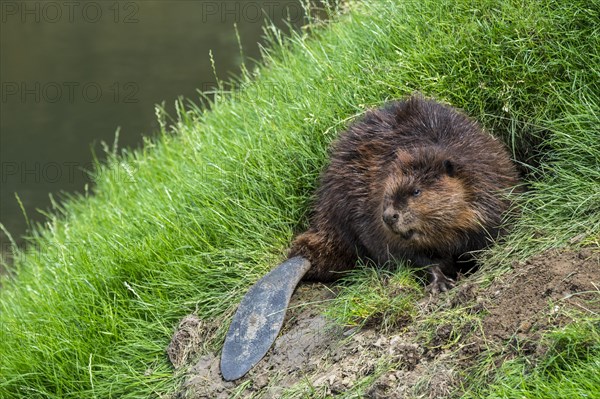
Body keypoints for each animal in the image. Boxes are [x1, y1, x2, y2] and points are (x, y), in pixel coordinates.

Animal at [288, 95, 516, 292]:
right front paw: (440, 283)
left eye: (416, 191)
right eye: (387, 193)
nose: (389, 216)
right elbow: (412, 257)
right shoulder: (373, 219)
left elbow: (491, 233)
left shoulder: (491, 186)